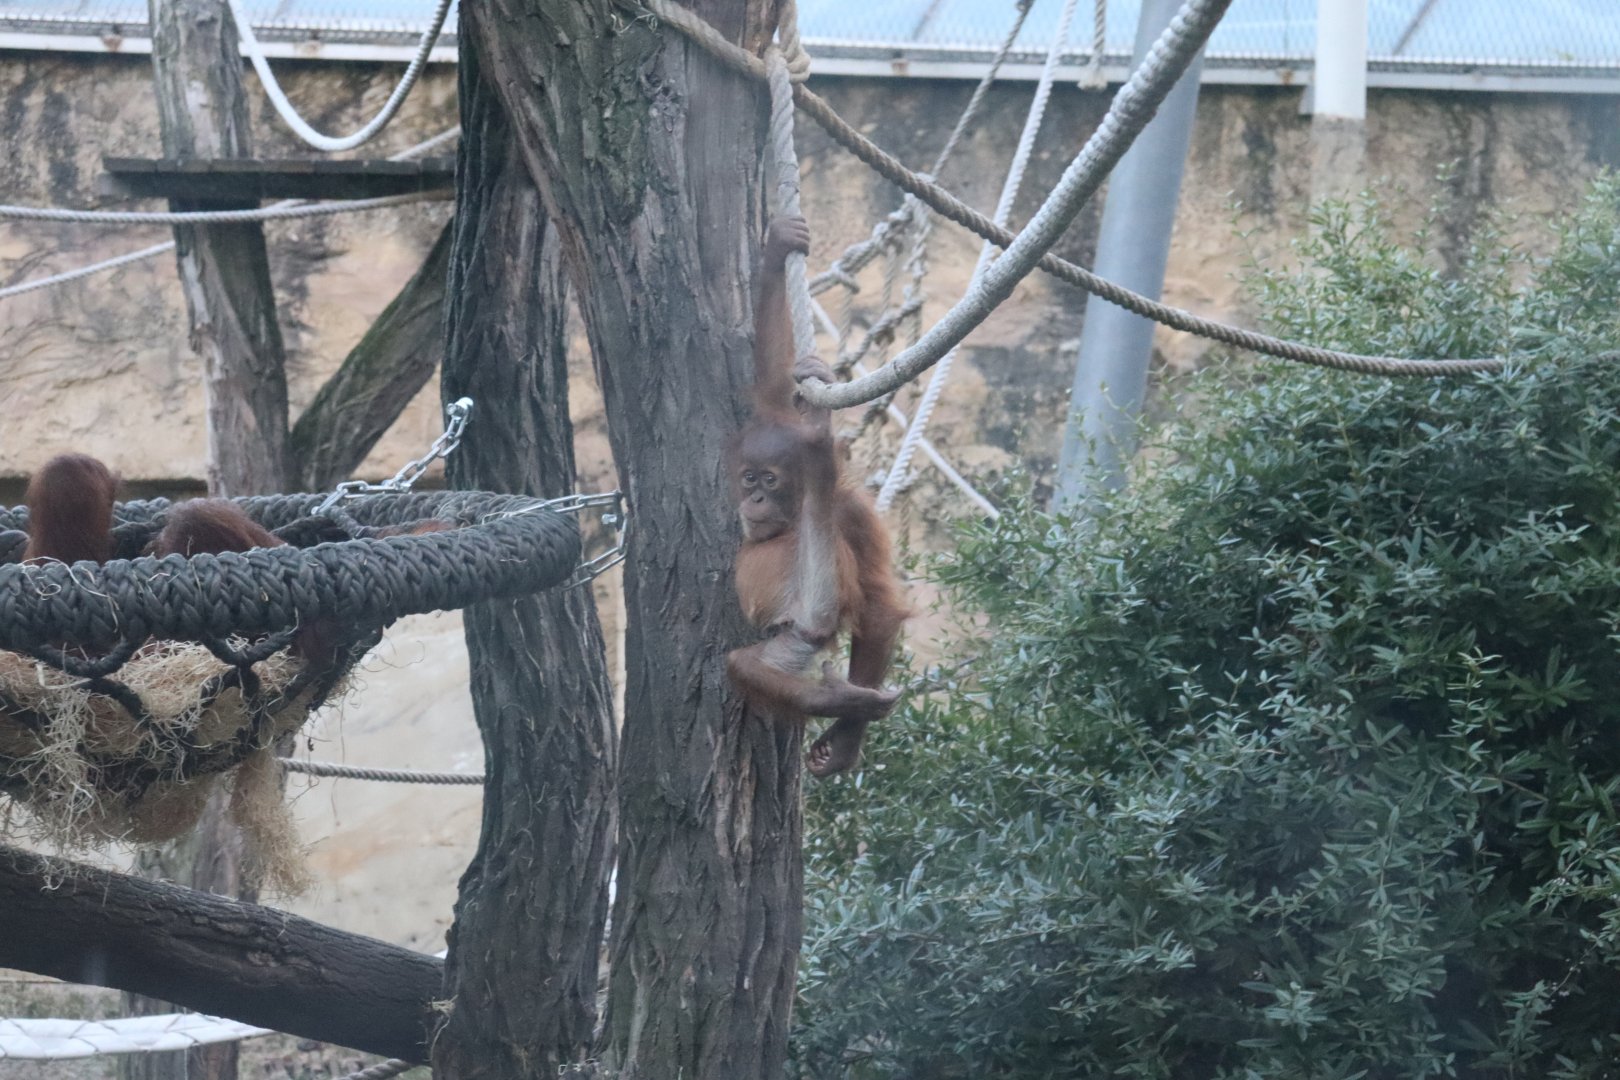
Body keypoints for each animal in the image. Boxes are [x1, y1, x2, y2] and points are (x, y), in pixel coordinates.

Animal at [726, 215, 909, 778]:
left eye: (769, 482)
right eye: (749, 478)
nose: (753, 502)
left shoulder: (852, 513)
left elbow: (878, 599)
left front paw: (846, 740)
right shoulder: (771, 418)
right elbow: (771, 380)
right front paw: (779, 246)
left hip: (794, 640)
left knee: (742, 662)